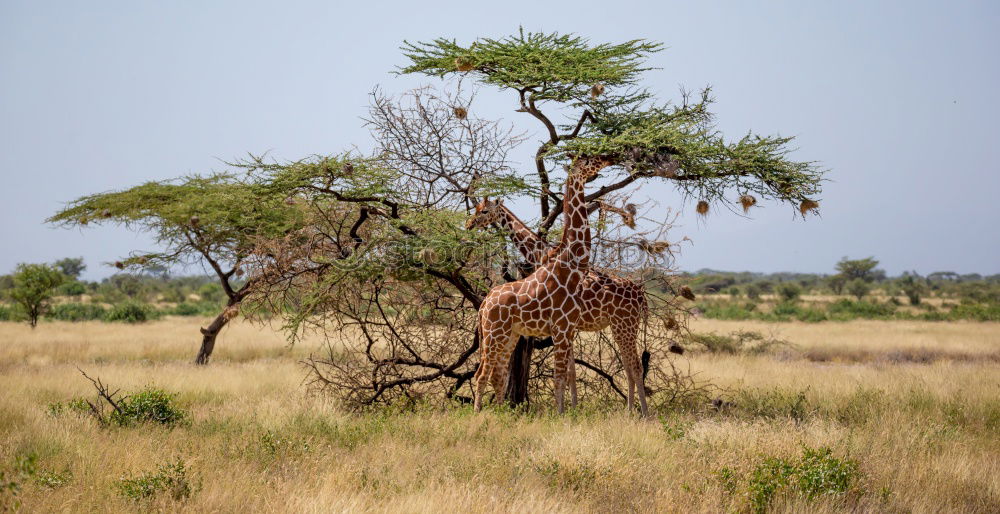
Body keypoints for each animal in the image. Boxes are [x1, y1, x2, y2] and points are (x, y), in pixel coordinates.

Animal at [466, 198, 652, 414]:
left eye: (484, 211)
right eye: (477, 209)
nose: (470, 224)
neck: (541, 253)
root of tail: (641, 294)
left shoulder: (565, 324)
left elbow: (568, 370)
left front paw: (570, 408)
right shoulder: (568, 326)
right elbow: (571, 371)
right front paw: (574, 407)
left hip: (626, 324)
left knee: (636, 366)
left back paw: (643, 413)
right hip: (620, 326)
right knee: (629, 367)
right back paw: (630, 411)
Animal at [472, 154, 612, 410]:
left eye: (484, 210)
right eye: (589, 161)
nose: (608, 158)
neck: (568, 265)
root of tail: (484, 304)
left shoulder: (567, 329)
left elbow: (566, 374)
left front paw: (568, 410)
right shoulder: (562, 328)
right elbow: (563, 375)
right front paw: (563, 412)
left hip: (505, 335)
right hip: (496, 334)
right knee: (485, 373)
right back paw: (480, 413)